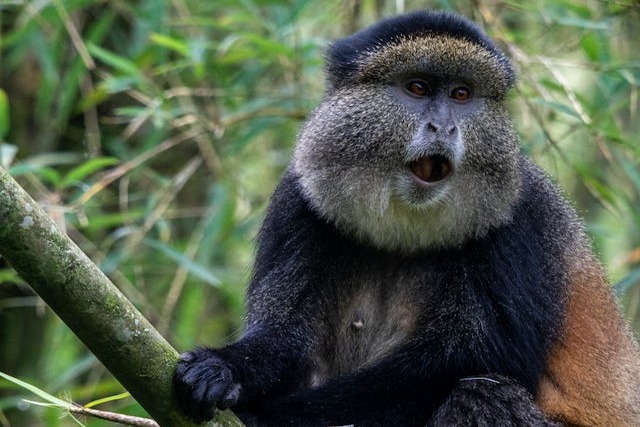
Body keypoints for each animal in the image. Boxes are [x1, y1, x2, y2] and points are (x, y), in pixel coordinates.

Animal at [173, 10, 640, 426]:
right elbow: (285, 339)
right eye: (417, 87)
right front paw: (222, 368)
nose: (443, 128)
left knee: (481, 394)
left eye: (461, 94)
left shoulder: (521, 218)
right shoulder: (298, 200)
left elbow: (467, 364)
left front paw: (265, 416)